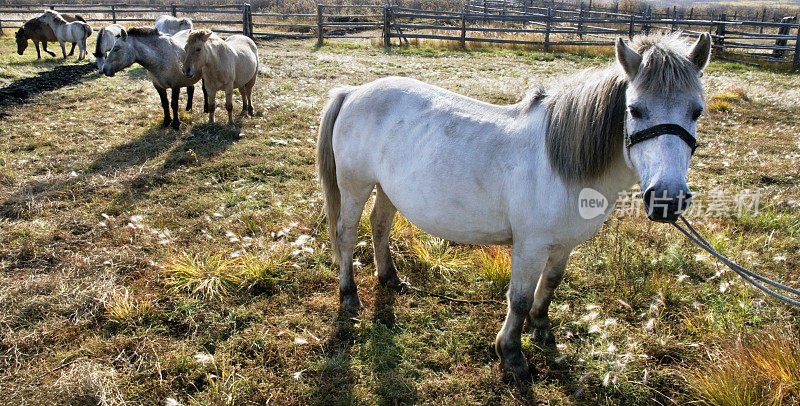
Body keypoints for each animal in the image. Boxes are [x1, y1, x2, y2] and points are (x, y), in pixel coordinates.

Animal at [316, 33, 708, 382]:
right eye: (634, 109)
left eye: (697, 112)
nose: (669, 199)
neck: (560, 163)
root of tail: (352, 93)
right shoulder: (530, 246)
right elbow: (518, 298)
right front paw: (512, 354)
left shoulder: (563, 244)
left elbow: (550, 284)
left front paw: (542, 327)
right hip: (355, 186)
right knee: (346, 235)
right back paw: (349, 296)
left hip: (388, 189)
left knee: (380, 225)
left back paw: (390, 278)